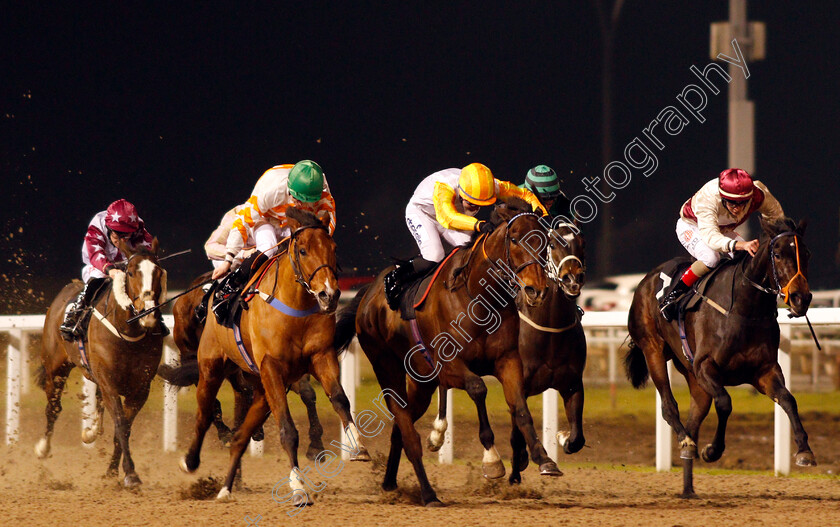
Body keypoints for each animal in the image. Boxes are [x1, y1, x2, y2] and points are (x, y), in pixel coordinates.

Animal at [36, 239, 167, 486]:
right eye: (131, 272)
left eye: (158, 272)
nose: (148, 314)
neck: (128, 334)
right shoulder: (110, 384)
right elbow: (121, 423)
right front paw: (130, 473)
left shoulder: (141, 388)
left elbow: (123, 428)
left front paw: (115, 471)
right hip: (55, 367)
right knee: (53, 408)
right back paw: (43, 447)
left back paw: (91, 431)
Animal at [334, 199, 556, 508]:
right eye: (514, 239)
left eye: (544, 241)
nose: (536, 290)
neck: (478, 297)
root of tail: (368, 293)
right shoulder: (448, 364)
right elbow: (478, 388)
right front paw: (491, 460)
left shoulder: (507, 360)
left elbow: (520, 407)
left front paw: (543, 458)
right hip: (386, 366)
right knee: (406, 428)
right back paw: (428, 494)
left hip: (422, 383)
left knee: (400, 428)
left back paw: (390, 483)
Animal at [628, 217, 816, 498]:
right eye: (778, 254)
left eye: (806, 254)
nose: (800, 298)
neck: (745, 310)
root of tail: (646, 280)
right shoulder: (706, 367)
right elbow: (726, 403)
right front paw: (712, 450)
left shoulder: (764, 371)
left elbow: (788, 400)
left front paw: (804, 451)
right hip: (653, 350)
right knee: (669, 407)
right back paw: (686, 441)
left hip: (694, 379)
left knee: (693, 420)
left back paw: (688, 486)